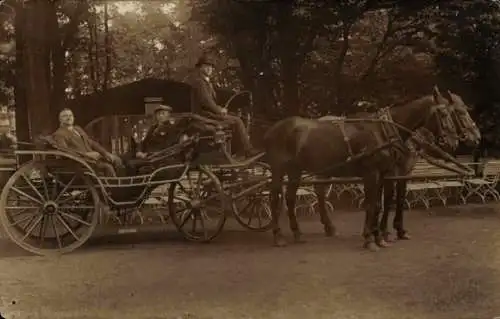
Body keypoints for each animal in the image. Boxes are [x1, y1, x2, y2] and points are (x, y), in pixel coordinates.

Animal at [264, 87, 462, 252]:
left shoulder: (382, 175)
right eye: (443, 113)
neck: (383, 131)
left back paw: (298, 233)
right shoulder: (372, 174)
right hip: (278, 169)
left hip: (295, 170)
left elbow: (378, 205)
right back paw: (278, 236)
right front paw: (370, 239)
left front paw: (378, 237)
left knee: (290, 198)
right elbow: (371, 205)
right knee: (275, 198)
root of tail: (274, 129)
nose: (453, 143)